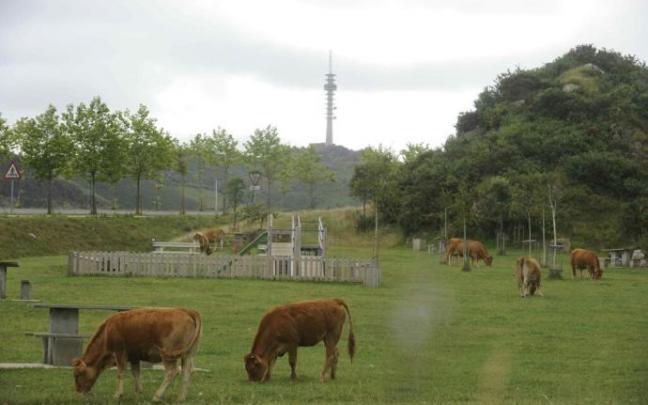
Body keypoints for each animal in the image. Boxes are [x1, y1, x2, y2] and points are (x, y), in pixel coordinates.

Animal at [72, 307, 202, 402]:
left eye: (77, 374)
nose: (78, 391)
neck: (108, 331)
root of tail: (186, 310)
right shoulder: (134, 356)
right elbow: (136, 373)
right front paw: (139, 393)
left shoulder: (119, 352)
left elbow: (120, 373)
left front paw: (118, 395)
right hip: (188, 354)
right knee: (187, 372)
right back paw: (181, 398)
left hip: (168, 355)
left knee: (172, 372)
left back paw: (157, 396)